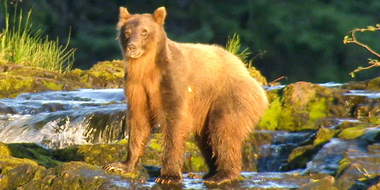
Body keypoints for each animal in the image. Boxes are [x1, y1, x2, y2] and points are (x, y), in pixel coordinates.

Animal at [104, 6, 268, 185]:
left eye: (144, 32)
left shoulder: (172, 80)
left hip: (229, 96)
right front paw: (121, 165)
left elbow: (174, 123)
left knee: (223, 131)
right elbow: (139, 121)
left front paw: (168, 176)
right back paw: (209, 173)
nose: (132, 47)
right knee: (206, 138)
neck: (147, 69)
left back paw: (222, 175)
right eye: (127, 32)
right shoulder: (137, 86)